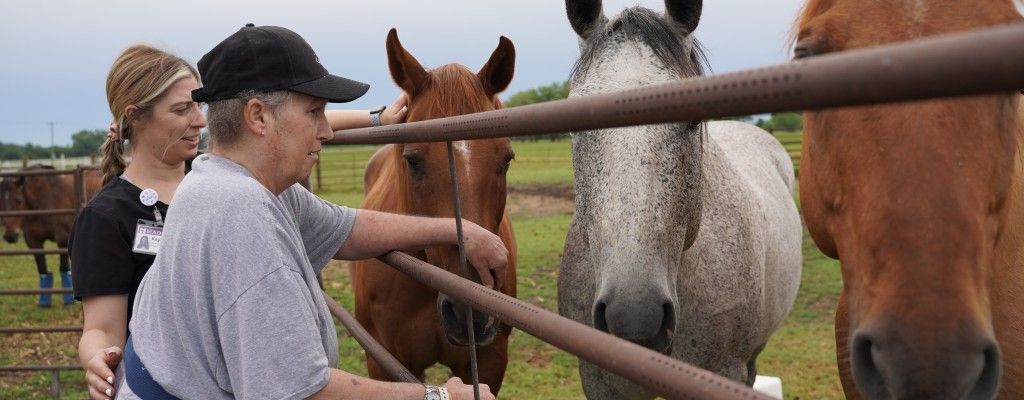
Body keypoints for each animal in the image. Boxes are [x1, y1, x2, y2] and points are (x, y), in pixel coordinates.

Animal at [0, 165, 100, 306]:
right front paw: (44, 302)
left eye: (18, 201)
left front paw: (68, 302)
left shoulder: (62, 238)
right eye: (0, 202)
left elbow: (64, 268)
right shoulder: (33, 241)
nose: (10, 236)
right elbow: (43, 270)